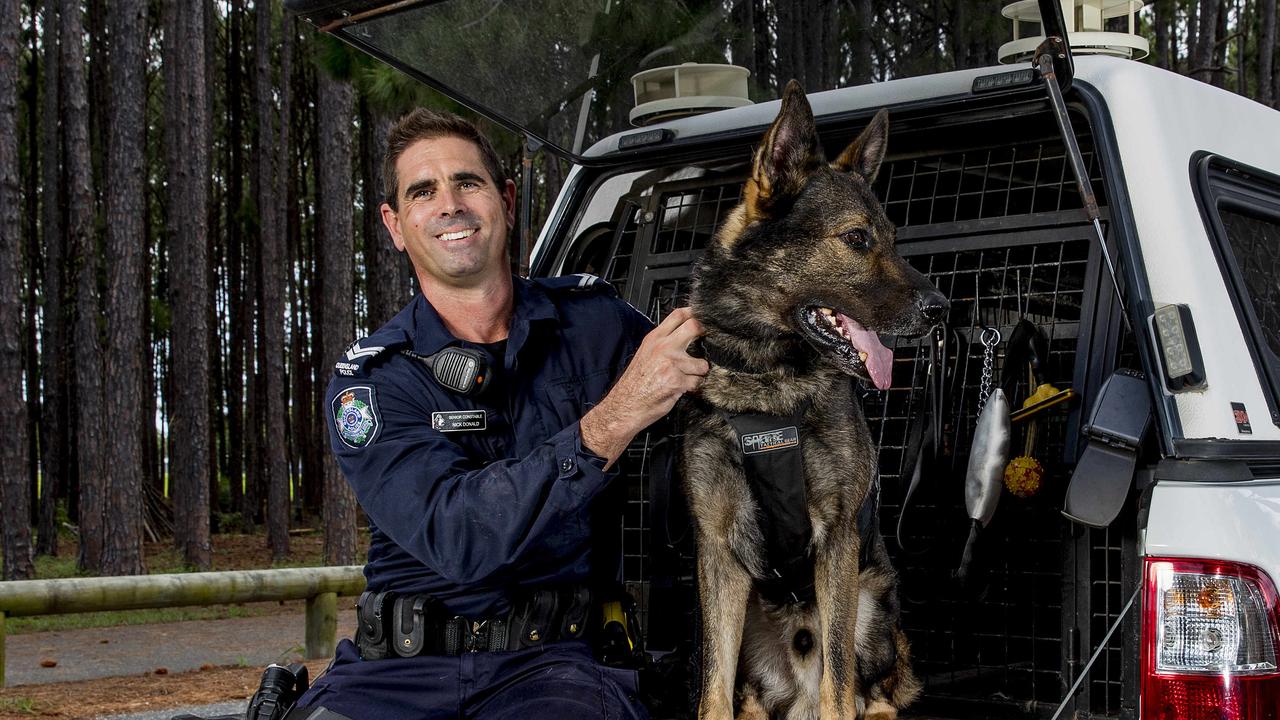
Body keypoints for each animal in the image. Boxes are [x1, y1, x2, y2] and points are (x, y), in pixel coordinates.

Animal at [680, 79, 952, 717]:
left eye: (895, 242)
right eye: (856, 238)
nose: (942, 310)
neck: (769, 383)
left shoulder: (837, 540)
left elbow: (838, 683)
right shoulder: (717, 554)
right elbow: (712, 690)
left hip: (871, 606)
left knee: (868, 690)